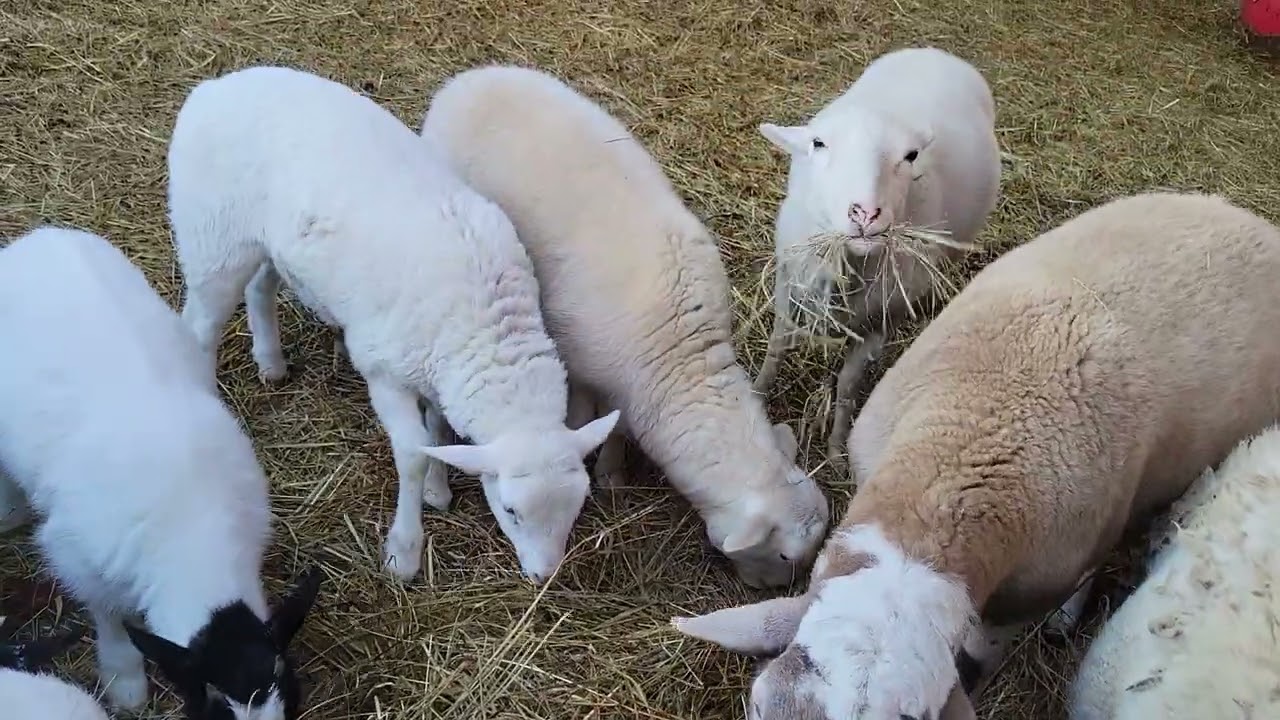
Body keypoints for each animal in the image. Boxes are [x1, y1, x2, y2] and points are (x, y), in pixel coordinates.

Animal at [0, 226, 323, 718]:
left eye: (287, 689)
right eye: (213, 704)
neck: (194, 531)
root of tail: (39, 236)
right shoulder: (79, 560)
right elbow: (109, 617)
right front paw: (125, 681)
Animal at [165, 65, 620, 585]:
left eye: (578, 504)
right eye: (510, 511)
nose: (546, 576)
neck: (488, 326)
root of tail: (214, 86)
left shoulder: (437, 367)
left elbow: (439, 425)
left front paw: (439, 488)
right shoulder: (384, 373)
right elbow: (414, 454)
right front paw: (404, 550)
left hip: (265, 242)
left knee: (259, 287)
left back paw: (271, 363)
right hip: (213, 240)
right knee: (200, 325)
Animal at [419, 64, 831, 589]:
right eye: (781, 555)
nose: (773, 589)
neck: (681, 361)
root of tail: (468, 77)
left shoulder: (632, 390)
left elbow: (617, 429)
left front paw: (612, 472)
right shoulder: (582, 367)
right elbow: (586, 421)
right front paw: (598, 464)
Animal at [750, 46, 1001, 465]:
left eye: (911, 155)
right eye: (818, 144)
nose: (866, 213)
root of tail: (934, 51)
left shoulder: (882, 320)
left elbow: (849, 386)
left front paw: (837, 451)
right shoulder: (790, 282)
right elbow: (777, 348)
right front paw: (754, 396)